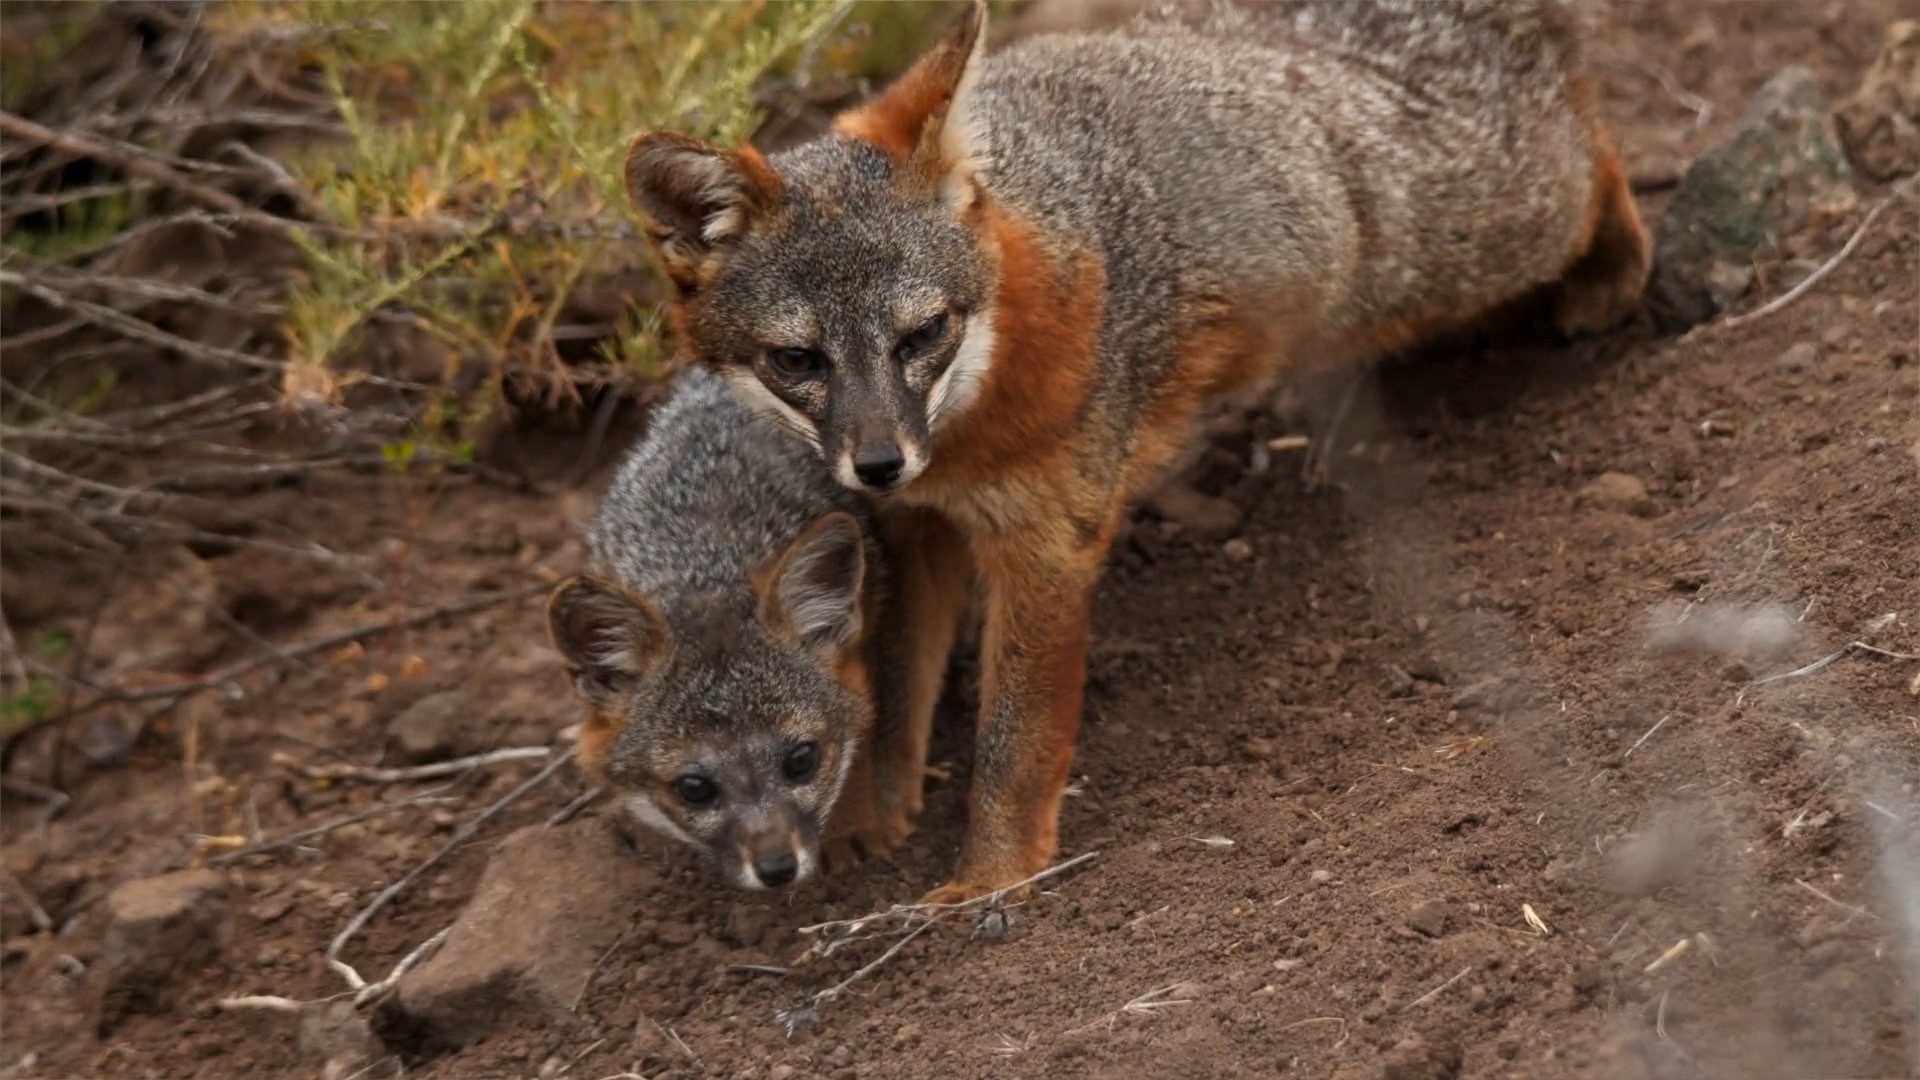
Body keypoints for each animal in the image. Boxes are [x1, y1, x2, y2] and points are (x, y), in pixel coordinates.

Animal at [546, 366, 923, 890]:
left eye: (801, 760)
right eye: (694, 789)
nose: (777, 869)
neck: (703, 554)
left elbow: (867, 728)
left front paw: (854, 823)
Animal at [621, 0, 1651, 902]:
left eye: (922, 335)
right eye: (797, 360)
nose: (876, 462)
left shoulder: (1046, 544)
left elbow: (1014, 739)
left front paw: (991, 878)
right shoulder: (915, 531)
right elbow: (893, 688)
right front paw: (876, 818)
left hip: (1488, 226)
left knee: (1587, 146)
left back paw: (1618, 264)